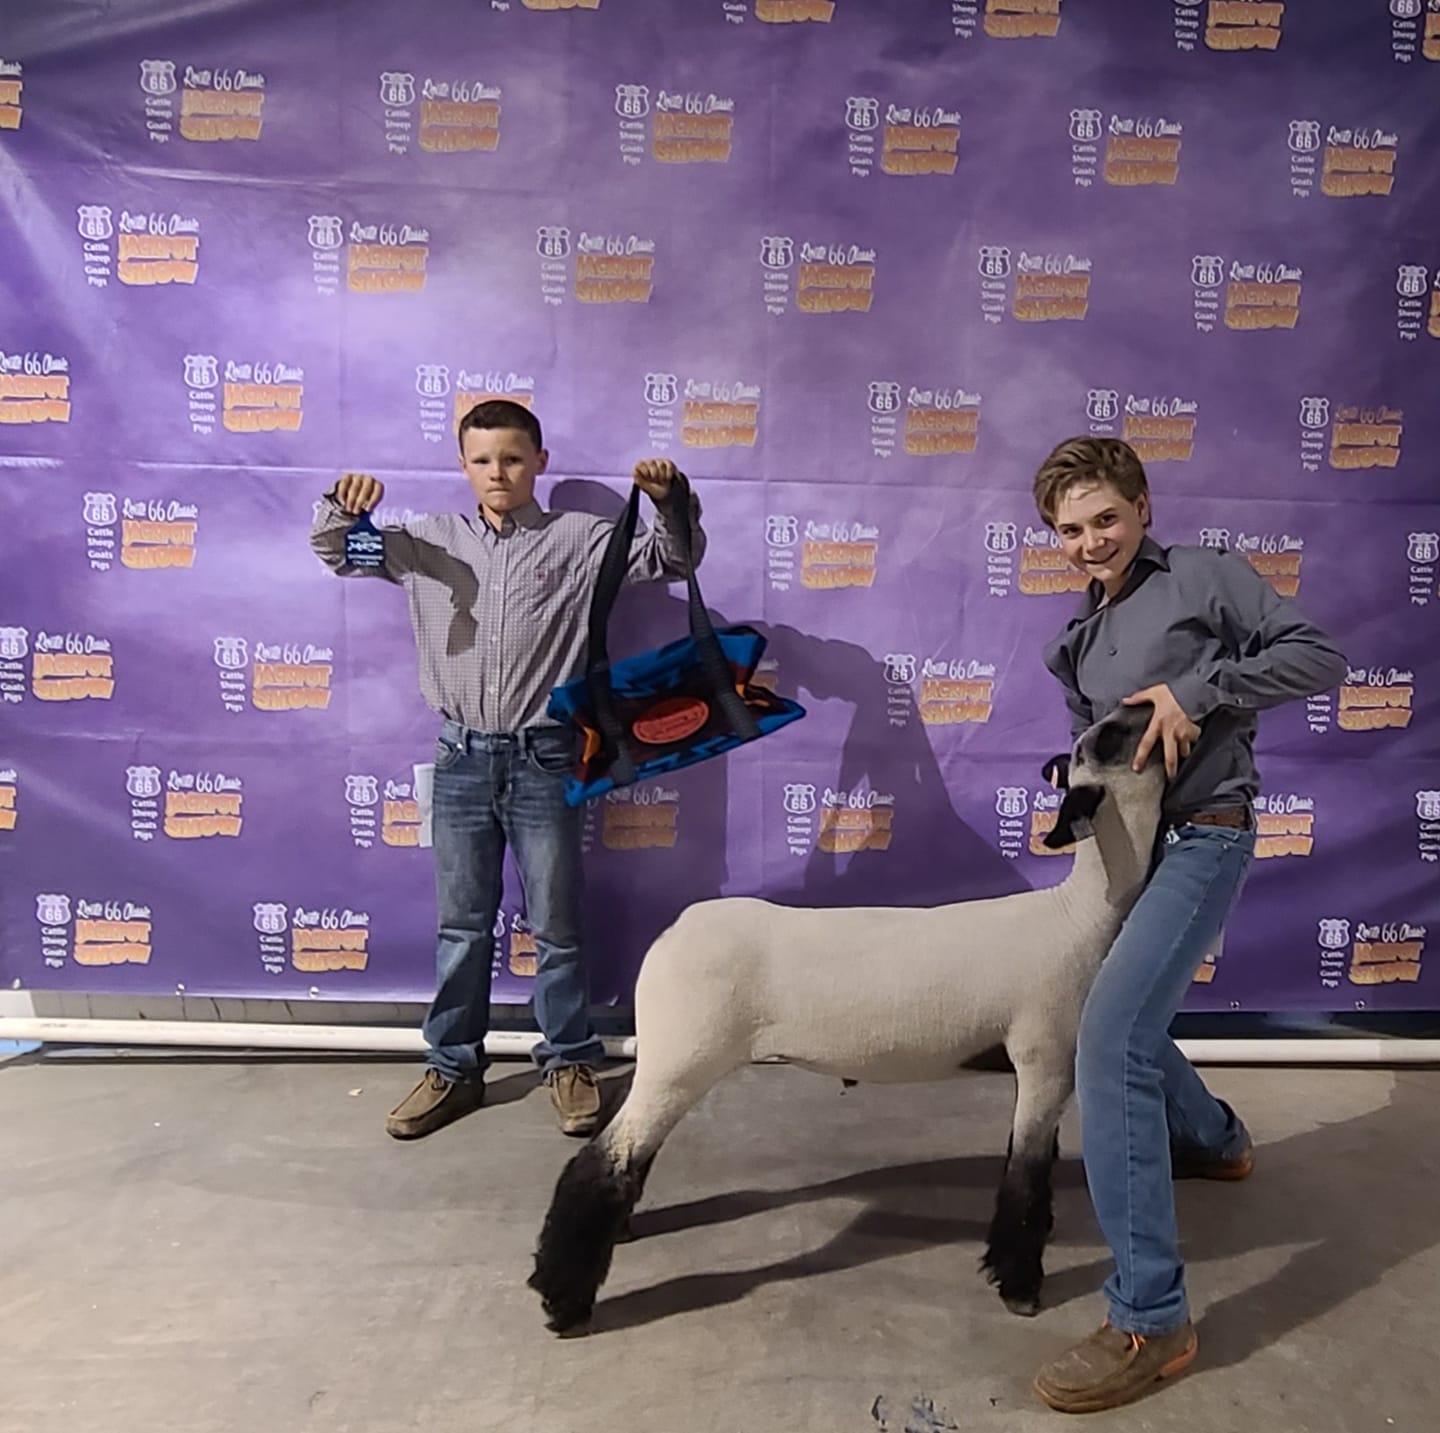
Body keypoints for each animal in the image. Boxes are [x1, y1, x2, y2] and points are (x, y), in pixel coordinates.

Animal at [529, 703, 1166, 1333]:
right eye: (1111, 737)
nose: (1153, 706)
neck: (1081, 911)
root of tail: (670, 934)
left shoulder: (1049, 1066)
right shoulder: (1043, 1056)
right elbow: (1025, 1180)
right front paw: (1021, 1289)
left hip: (668, 1056)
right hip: (685, 1057)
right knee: (600, 1164)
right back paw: (564, 1302)